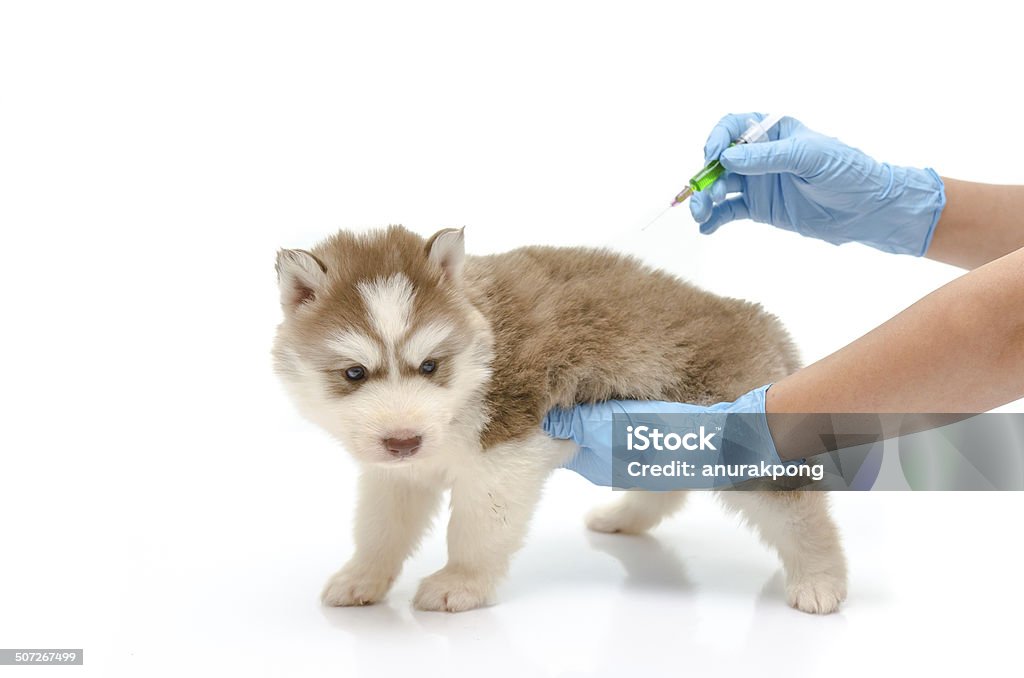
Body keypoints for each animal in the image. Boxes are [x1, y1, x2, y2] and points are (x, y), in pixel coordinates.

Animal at [274, 227, 847, 614]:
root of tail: (761, 321)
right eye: (354, 372)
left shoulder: (504, 455)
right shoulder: (397, 475)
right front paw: (362, 576)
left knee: (801, 512)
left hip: (743, 444)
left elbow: (475, 530)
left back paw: (821, 578)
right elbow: (380, 528)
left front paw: (461, 582)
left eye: (430, 365)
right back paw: (625, 517)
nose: (403, 440)